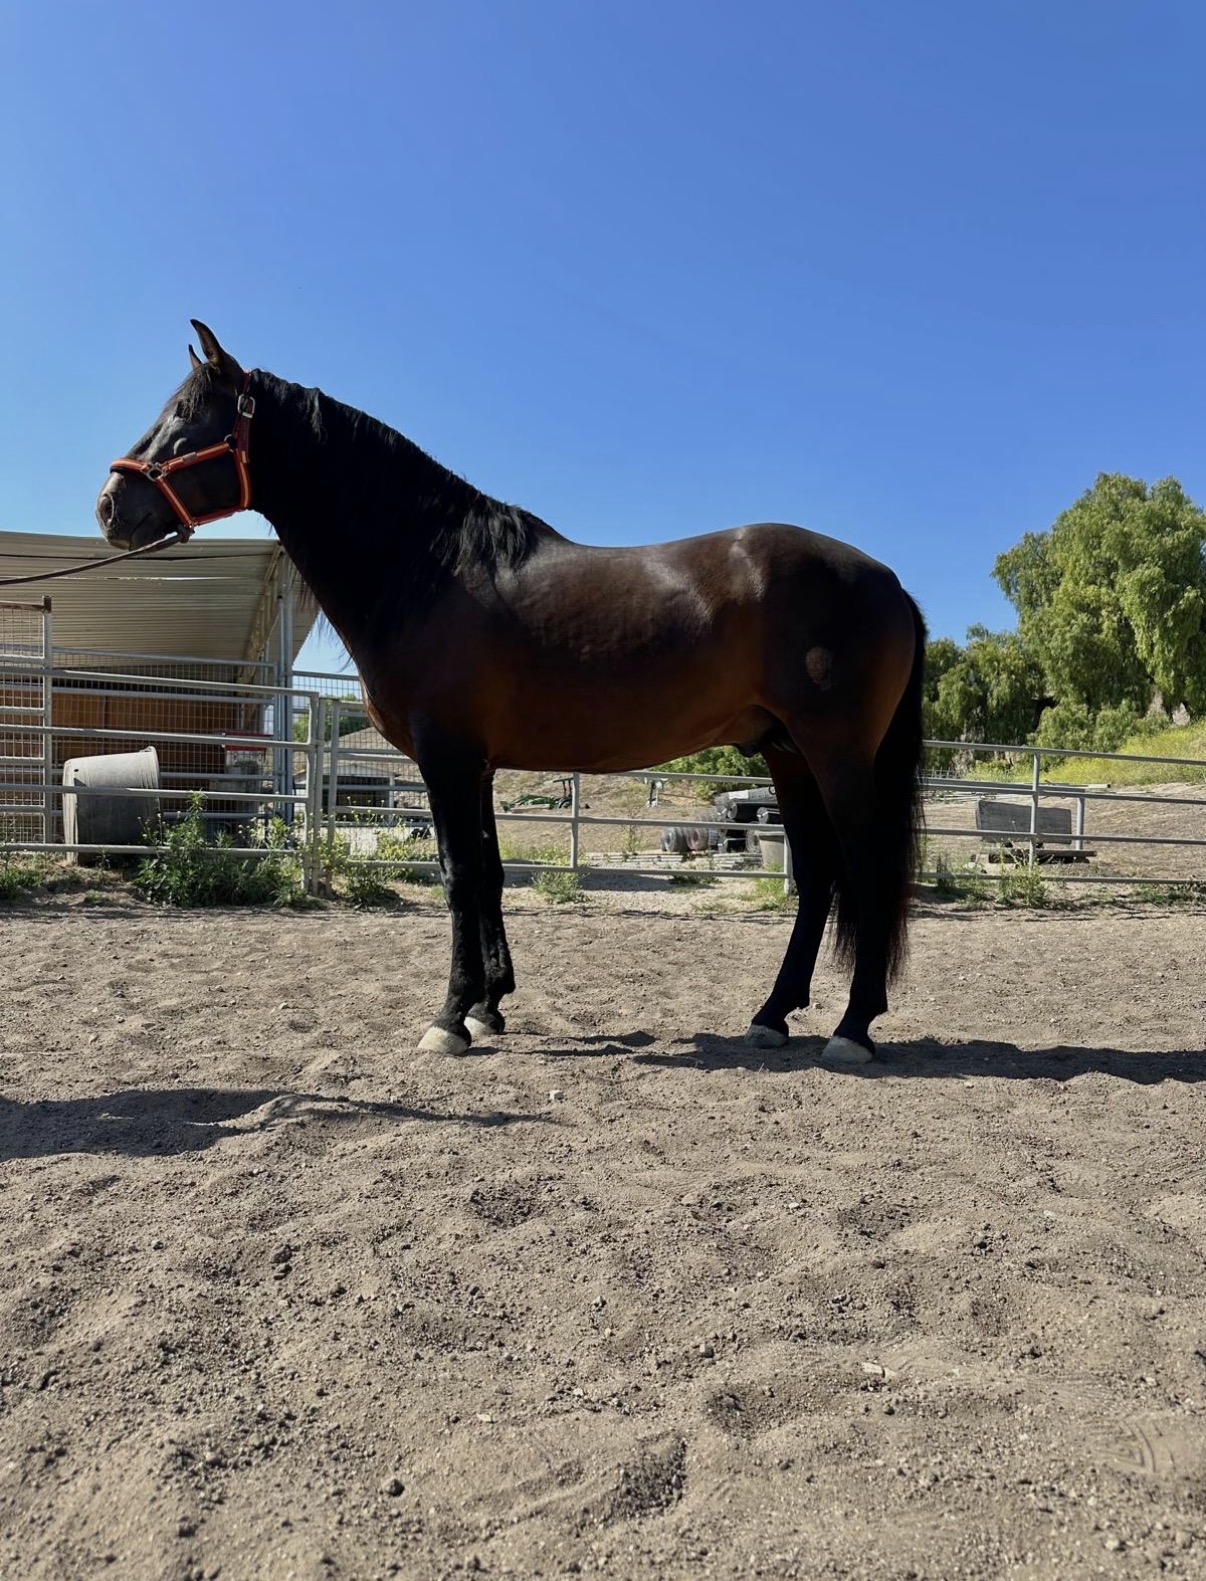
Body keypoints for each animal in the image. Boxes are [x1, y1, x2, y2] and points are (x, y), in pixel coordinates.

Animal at [96, 322, 927, 1065]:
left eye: (187, 415)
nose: (110, 505)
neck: (429, 568)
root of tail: (890, 584)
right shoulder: (479, 764)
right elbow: (489, 873)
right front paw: (489, 1004)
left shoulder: (446, 756)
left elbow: (460, 875)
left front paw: (449, 1018)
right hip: (786, 754)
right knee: (816, 878)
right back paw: (772, 1014)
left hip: (834, 756)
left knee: (867, 870)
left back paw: (853, 1028)